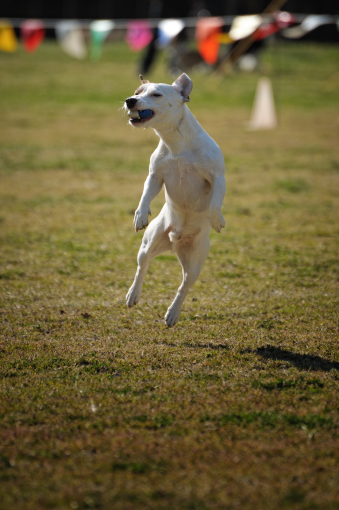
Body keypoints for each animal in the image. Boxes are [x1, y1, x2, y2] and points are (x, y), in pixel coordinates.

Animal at [124, 72, 226, 326]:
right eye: (137, 92)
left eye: (156, 94)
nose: (130, 100)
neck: (176, 143)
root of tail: (175, 241)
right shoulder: (155, 176)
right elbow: (146, 193)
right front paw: (140, 215)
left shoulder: (217, 176)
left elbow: (216, 200)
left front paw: (216, 219)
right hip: (149, 243)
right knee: (142, 267)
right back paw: (133, 295)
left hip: (196, 261)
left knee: (184, 286)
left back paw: (172, 313)